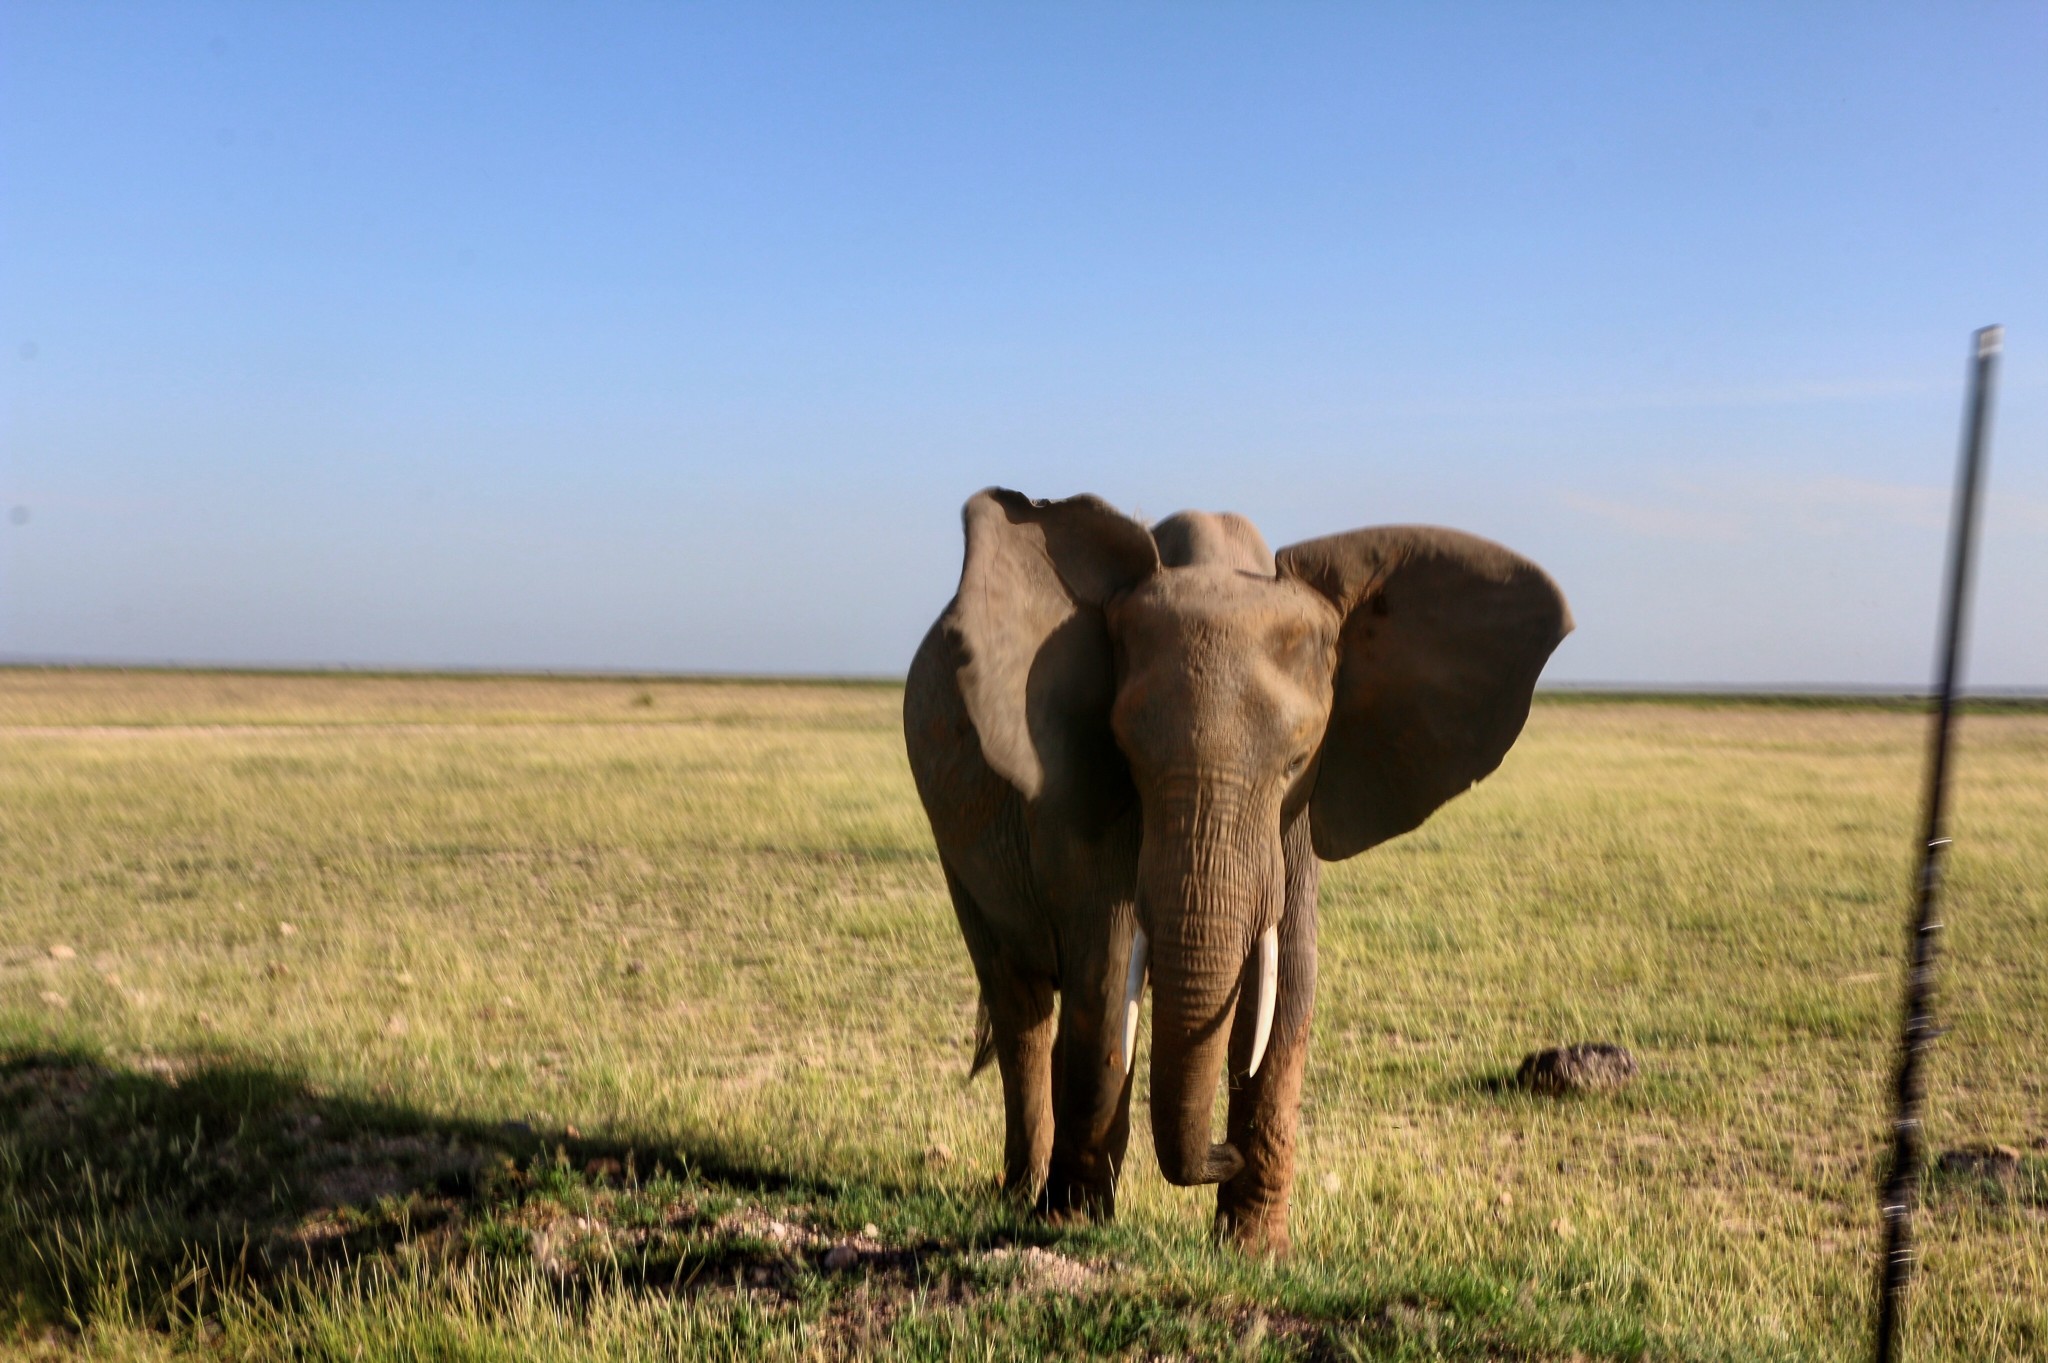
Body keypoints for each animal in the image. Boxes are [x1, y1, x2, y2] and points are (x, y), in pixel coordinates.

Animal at [897, 482, 1564, 1244]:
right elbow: (1106, 968)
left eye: (1297, 760)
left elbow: (1291, 976)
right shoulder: (1077, 787)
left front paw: (1252, 1247)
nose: (1222, 1149)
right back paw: (1020, 1194)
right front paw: (1071, 1224)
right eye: (1128, 752)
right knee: (1022, 1004)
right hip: (948, 830)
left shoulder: (1299, 809)